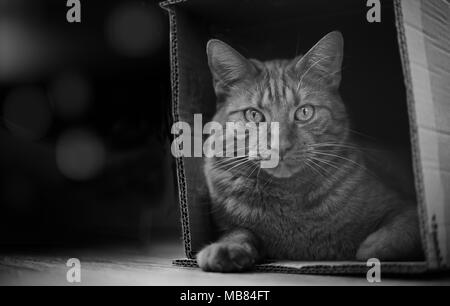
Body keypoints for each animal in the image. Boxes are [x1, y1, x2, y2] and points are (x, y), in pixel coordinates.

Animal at [197, 31, 422, 272]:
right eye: (254, 115)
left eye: (304, 112)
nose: (281, 146)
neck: (288, 201)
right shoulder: (233, 225)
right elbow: (239, 232)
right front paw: (223, 249)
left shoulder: (406, 205)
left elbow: (402, 227)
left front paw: (371, 249)